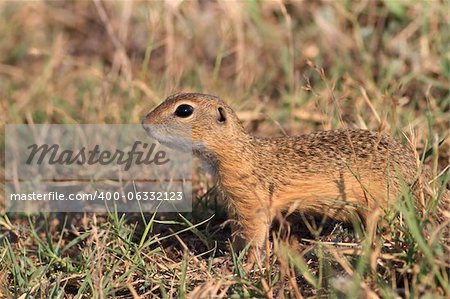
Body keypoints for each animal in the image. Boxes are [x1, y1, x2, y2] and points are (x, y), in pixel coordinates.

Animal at [143, 93, 446, 258]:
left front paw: (245, 266)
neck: (242, 152)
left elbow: (255, 236)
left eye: (184, 110)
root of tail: (419, 177)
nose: (144, 122)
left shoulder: (252, 203)